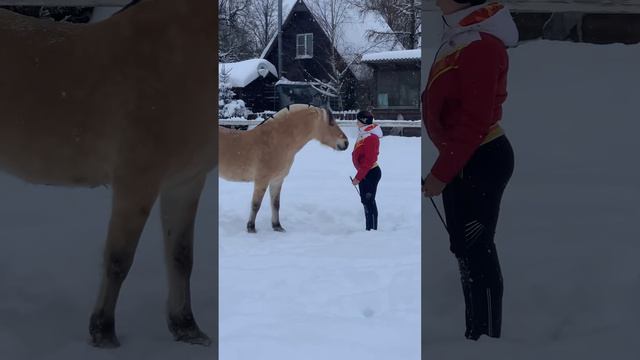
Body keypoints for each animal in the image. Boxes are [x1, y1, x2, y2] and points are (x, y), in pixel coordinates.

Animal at [0, 0, 218, 348]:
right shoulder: (136, 182)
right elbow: (118, 259)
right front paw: (103, 330)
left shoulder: (185, 183)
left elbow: (181, 258)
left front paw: (186, 327)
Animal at [220, 104, 350, 233]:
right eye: (331, 123)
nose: (346, 143)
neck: (275, 141)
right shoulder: (261, 181)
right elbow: (256, 204)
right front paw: (251, 227)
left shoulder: (277, 180)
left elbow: (276, 204)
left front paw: (277, 226)